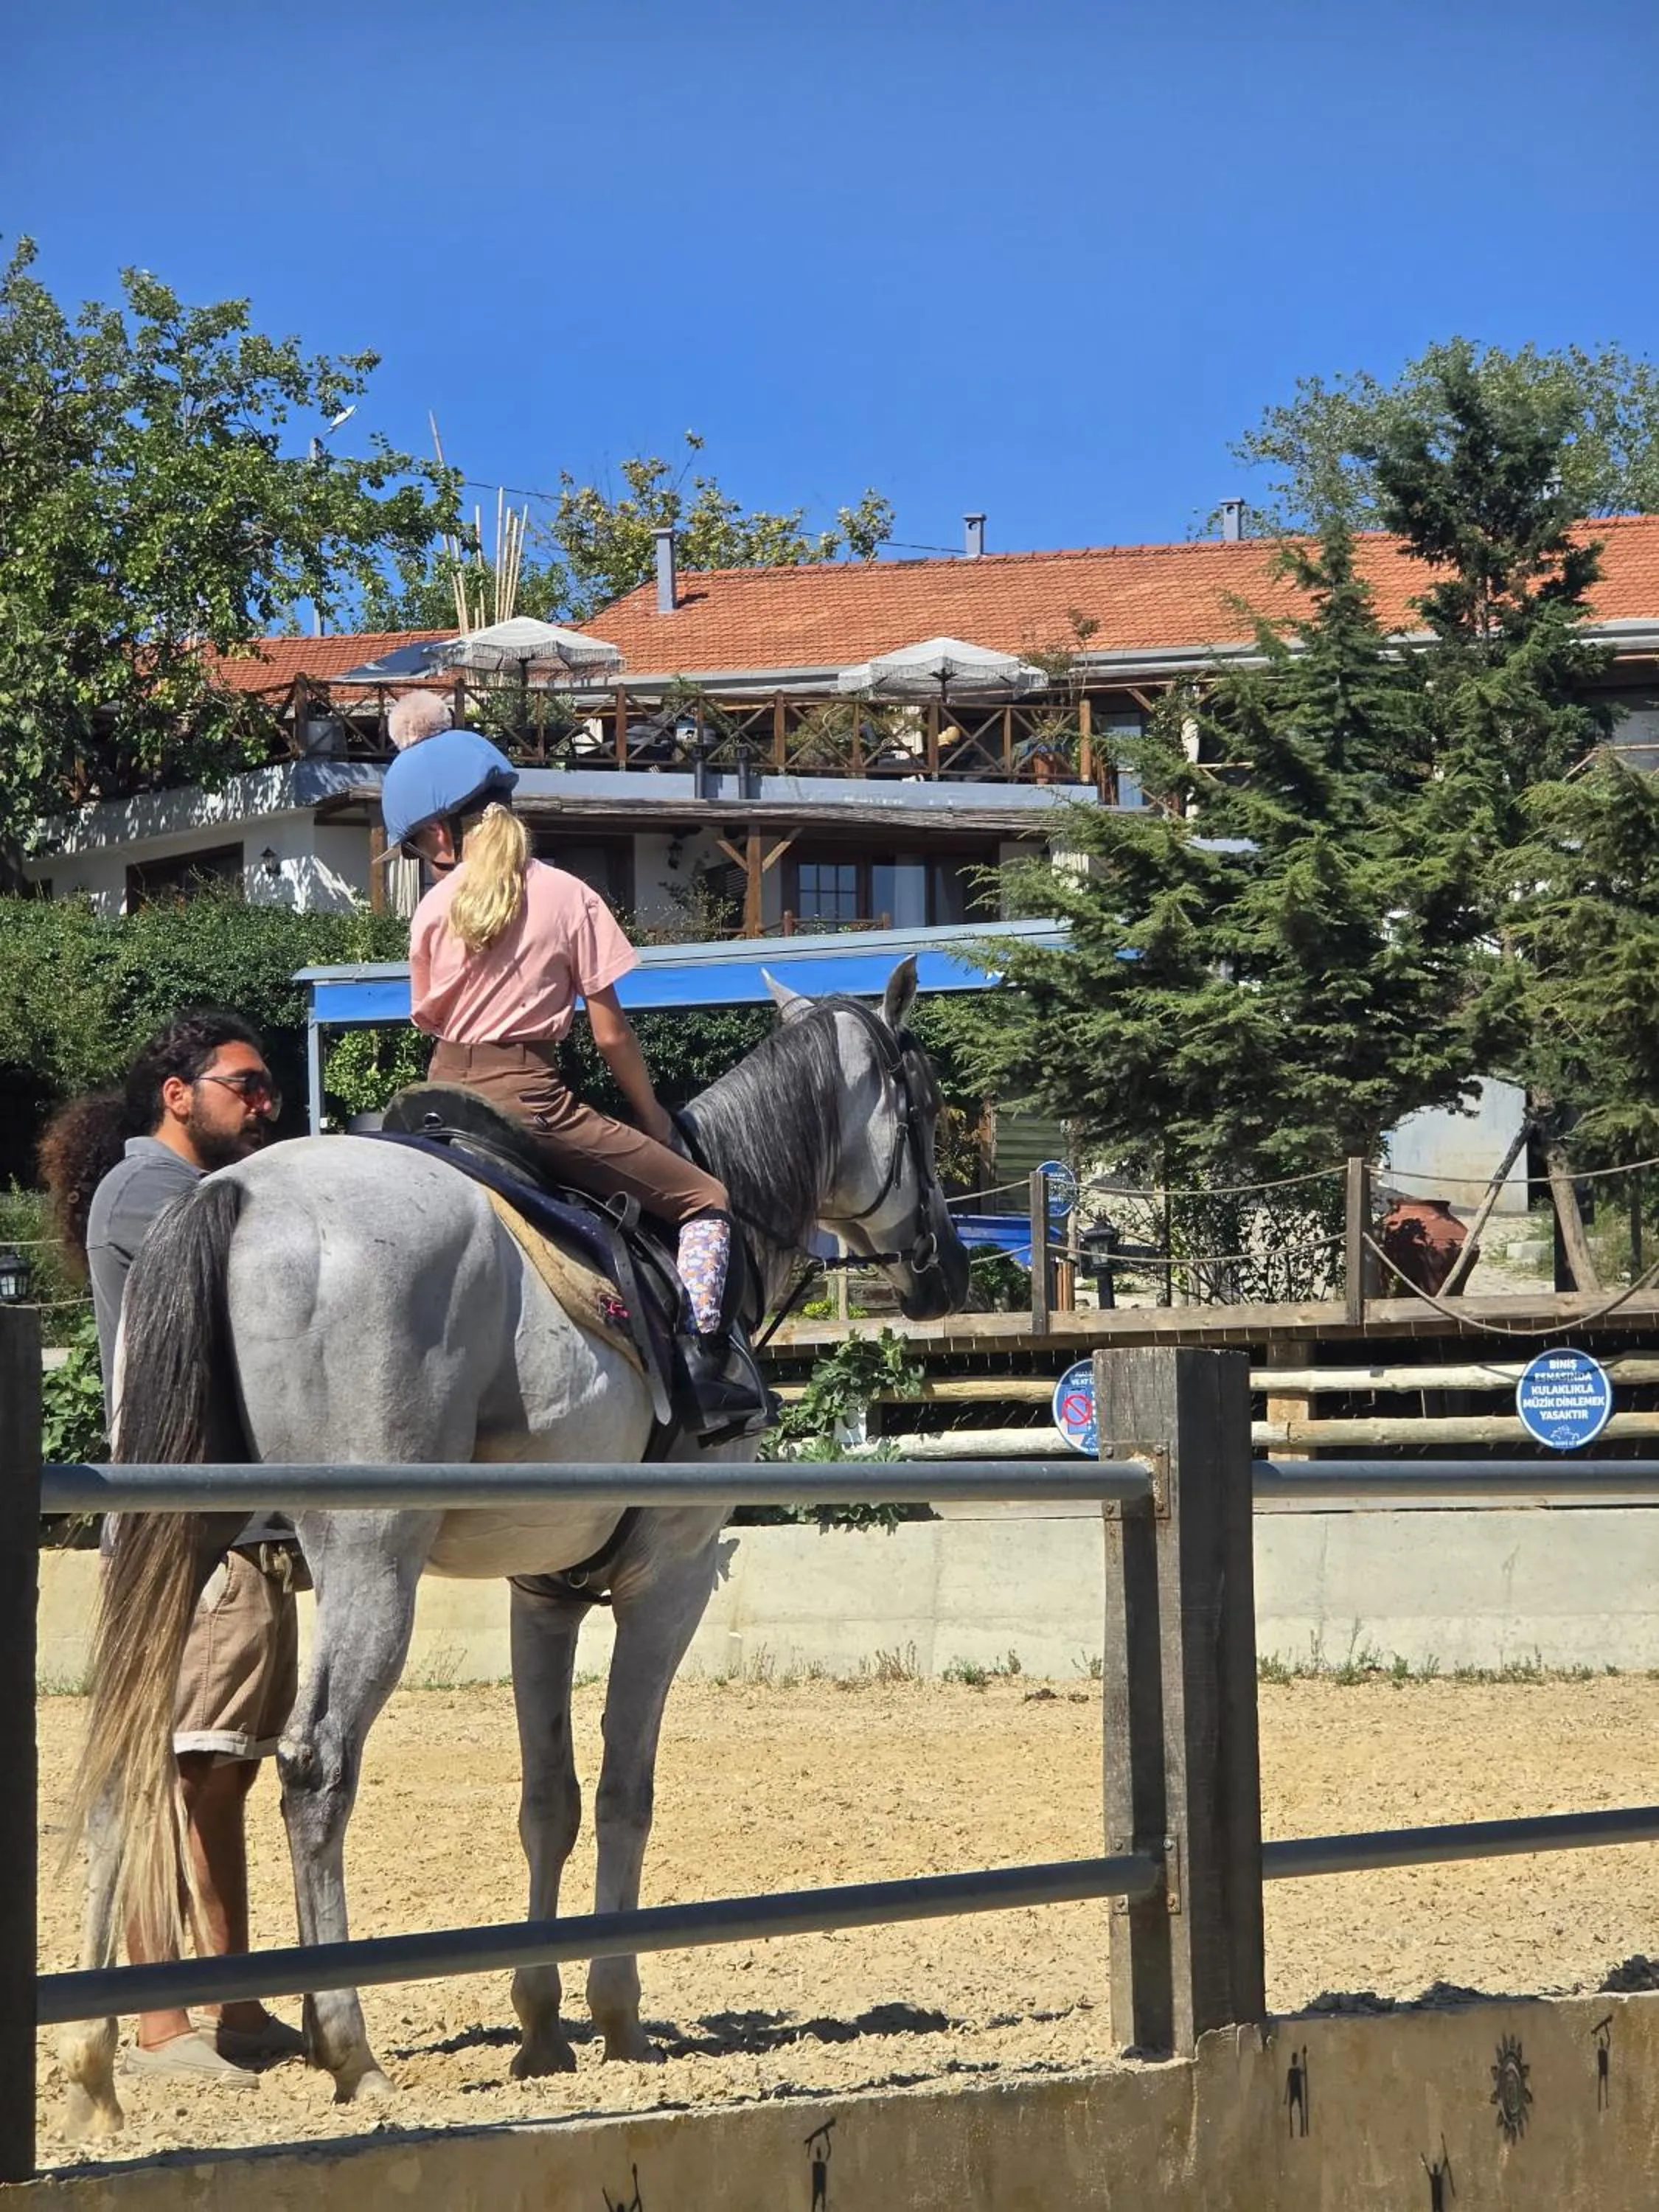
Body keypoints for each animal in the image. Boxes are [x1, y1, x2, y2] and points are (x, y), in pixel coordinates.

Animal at [63, 959, 970, 2135]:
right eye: (925, 1110)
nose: (948, 1270)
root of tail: (237, 1195)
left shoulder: (540, 1594)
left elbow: (550, 1800)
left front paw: (542, 2025)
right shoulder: (670, 1581)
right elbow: (625, 1789)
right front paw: (617, 2015)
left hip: (168, 1543)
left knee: (125, 1750)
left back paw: (92, 2061)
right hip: (370, 1563)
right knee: (315, 1766)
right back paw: (347, 2046)